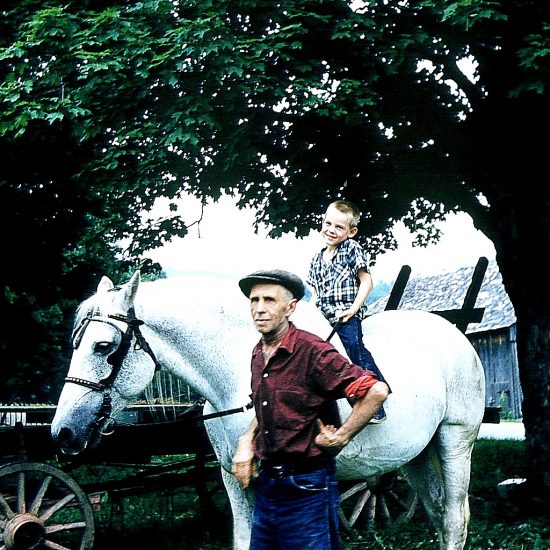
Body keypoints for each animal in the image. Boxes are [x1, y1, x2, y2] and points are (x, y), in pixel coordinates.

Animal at [49, 274, 486, 550]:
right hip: (415, 456)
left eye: (104, 346)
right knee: (437, 512)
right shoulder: (234, 480)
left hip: (454, 440)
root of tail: (455, 335)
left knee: (454, 517)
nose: (63, 432)